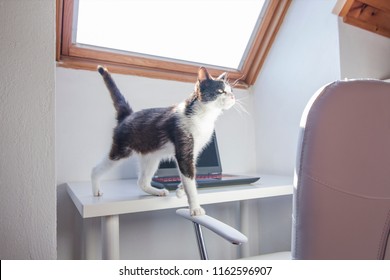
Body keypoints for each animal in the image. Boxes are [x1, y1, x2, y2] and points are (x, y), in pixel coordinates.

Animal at [90, 64, 235, 215]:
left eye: (231, 90)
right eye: (220, 91)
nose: (233, 96)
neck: (203, 116)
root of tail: (127, 116)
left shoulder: (193, 152)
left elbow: (190, 174)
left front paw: (180, 190)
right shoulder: (183, 149)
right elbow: (189, 177)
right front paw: (195, 208)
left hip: (151, 157)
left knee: (142, 181)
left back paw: (157, 191)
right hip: (122, 149)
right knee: (97, 168)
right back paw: (96, 189)